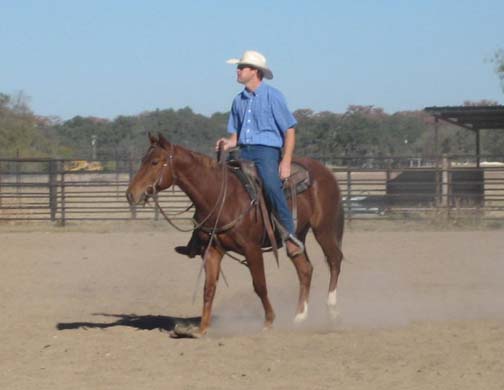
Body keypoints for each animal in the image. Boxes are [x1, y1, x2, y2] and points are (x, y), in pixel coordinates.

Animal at [128, 134, 344, 336]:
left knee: (335, 260)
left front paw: (269, 321)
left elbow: (259, 285)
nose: (130, 194)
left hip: (323, 229)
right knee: (305, 269)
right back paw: (300, 316)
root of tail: (326, 171)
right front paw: (202, 329)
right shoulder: (212, 251)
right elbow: (209, 289)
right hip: (298, 235)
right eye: (142, 160)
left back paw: (332, 309)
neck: (220, 197)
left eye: (155, 162)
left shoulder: (252, 249)